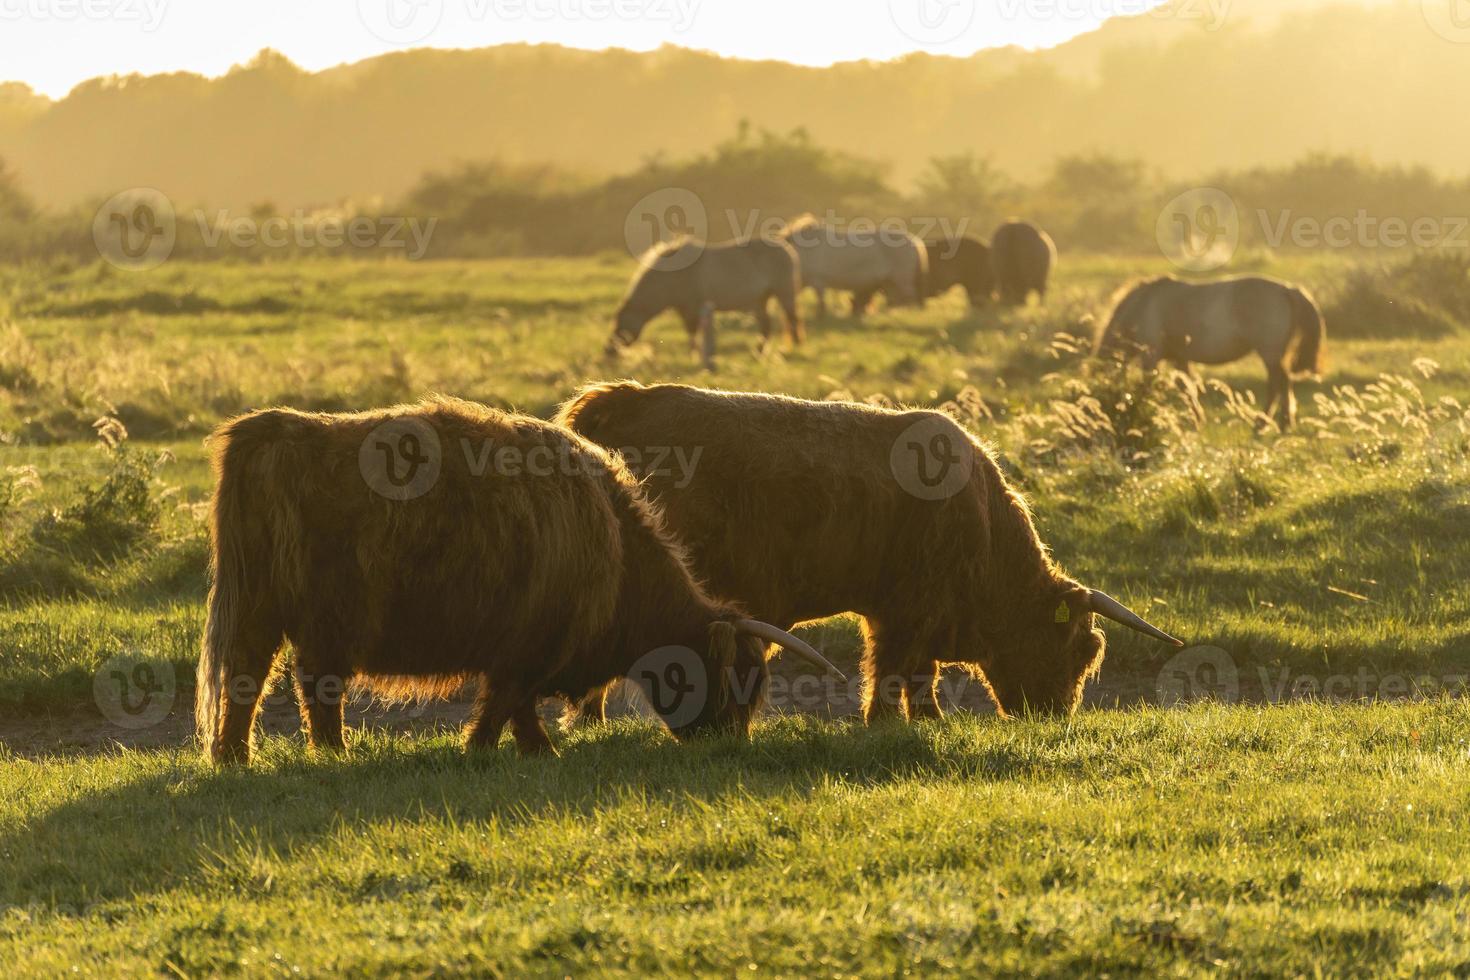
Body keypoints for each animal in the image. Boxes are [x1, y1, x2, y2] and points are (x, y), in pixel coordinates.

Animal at [195, 393, 840, 764]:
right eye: (735, 678)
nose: (729, 742)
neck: (616, 548)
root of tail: (275, 430)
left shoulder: (526, 651)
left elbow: (517, 707)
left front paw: (531, 750)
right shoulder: (530, 647)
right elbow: (505, 704)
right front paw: (499, 750)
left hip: (258, 610)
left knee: (249, 679)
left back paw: (234, 758)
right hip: (322, 619)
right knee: (313, 686)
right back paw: (331, 755)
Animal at [561, 382, 1181, 728]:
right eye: (1077, 649)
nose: (1054, 717)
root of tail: (622, 400)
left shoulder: (904, 614)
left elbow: (918, 673)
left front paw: (929, 719)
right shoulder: (907, 612)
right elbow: (892, 669)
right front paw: (885, 721)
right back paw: (590, 718)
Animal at [602, 235, 799, 358]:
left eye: (620, 325)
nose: (608, 351)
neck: (672, 276)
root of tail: (786, 248)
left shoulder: (691, 309)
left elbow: (692, 332)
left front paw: (693, 355)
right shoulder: (683, 309)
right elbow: (691, 332)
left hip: (784, 293)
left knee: (792, 319)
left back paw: (794, 346)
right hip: (760, 300)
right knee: (765, 326)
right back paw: (758, 352)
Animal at [782, 215, 929, 320]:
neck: (802, 252)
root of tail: (916, 241)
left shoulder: (818, 281)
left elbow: (821, 302)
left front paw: (821, 317)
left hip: (902, 280)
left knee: (910, 297)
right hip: (890, 282)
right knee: (896, 300)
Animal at [1099, 276, 1328, 429]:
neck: (1143, 306)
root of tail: (1286, 289)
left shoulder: (1151, 356)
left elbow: (1148, 386)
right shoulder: (1179, 359)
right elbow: (1187, 388)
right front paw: (1197, 421)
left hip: (1269, 353)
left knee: (1278, 385)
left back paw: (1264, 425)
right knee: (1283, 383)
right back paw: (1280, 424)